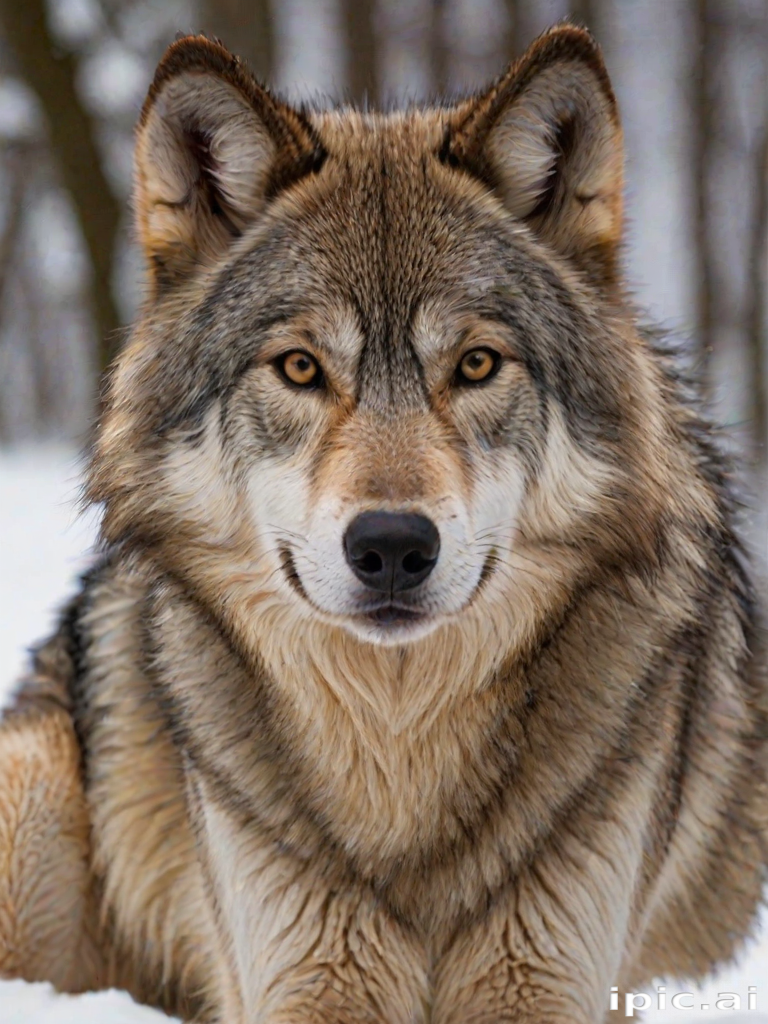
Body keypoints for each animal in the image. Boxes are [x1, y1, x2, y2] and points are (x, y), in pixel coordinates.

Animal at [0, 23, 766, 1024]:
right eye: (298, 367)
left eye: (477, 364)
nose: (394, 546)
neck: (399, 754)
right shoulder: (304, 979)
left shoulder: (553, 982)